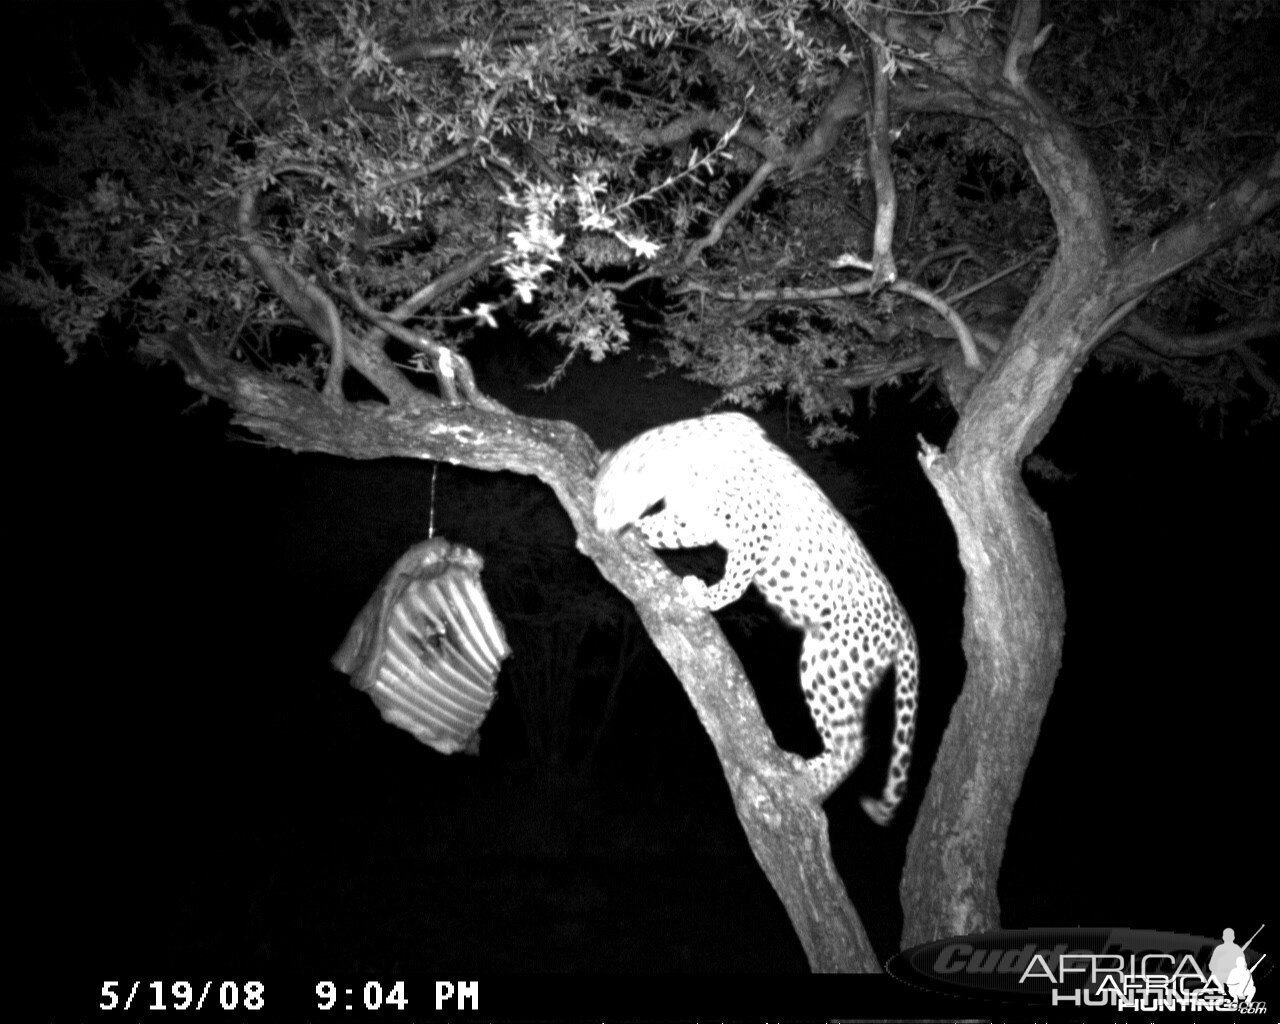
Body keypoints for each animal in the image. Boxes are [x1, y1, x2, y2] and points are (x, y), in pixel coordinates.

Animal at [593, 409, 916, 824]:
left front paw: (706, 594)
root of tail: (903, 621)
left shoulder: (759, 525)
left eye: (605, 501)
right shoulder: (696, 520)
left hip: (830, 663)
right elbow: (667, 529)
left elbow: (736, 578)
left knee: (853, 743)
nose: (594, 530)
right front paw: (641, 529)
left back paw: (811, 782)